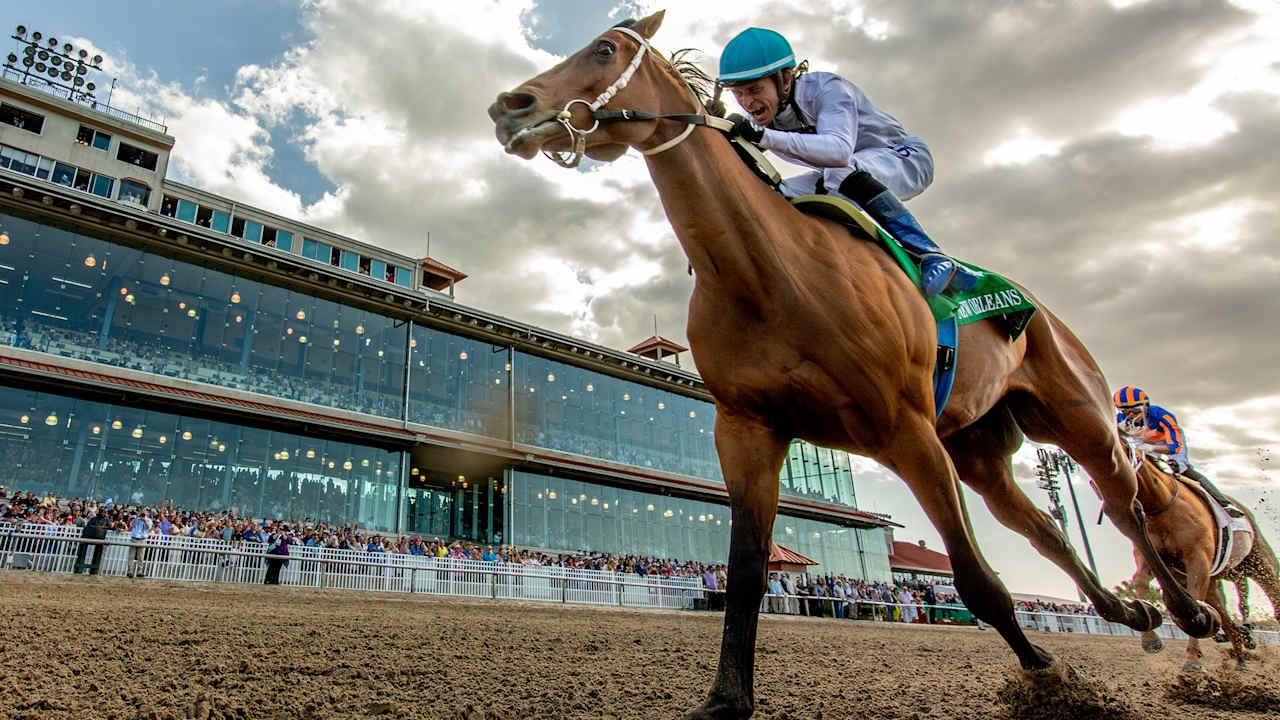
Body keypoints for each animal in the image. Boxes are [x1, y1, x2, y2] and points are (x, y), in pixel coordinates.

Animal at [488, 12, 1219, 718]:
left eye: (605, 49)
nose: (507, 106)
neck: (771, 274)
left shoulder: (906, 428)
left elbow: (976, 580)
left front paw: (1047, 673)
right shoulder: (747, 429)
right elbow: (746, 574)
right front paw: (726, 697)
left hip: (1077, 416)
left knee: (1124, 506)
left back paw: (1185, 613)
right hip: (977, 447)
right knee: (1042, 529)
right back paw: (1131, 610)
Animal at [1124, 439, 1280, 672]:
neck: (1161, 505)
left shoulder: (1197, 561)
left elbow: (1194, 602)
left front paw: (1192, 661)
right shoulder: (1154, 560)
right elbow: (1140, 581)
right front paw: (1150, 639)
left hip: (1259, 562)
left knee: (1273, 597)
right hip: (1218, 579)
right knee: (1227, 620)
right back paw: (1240, 656)